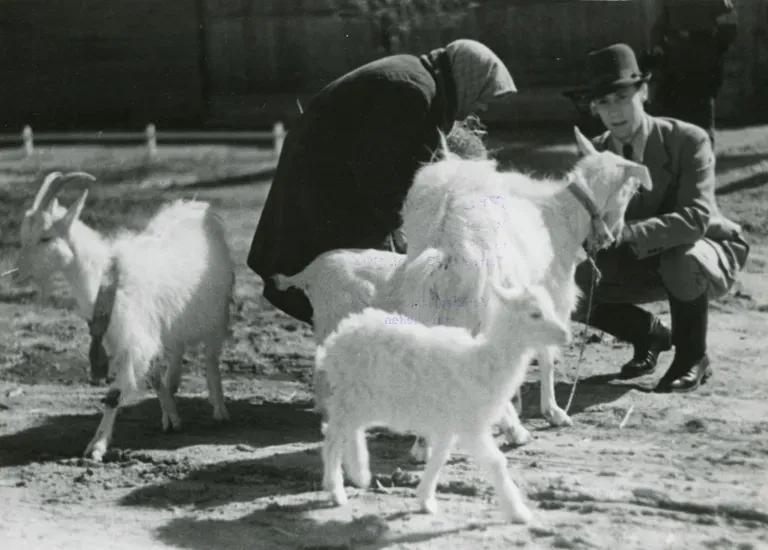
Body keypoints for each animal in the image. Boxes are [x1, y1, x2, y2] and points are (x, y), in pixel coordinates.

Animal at [16, 171, 234, 462]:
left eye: (46, 237)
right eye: (24, 235)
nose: (18, 274)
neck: (106, 279)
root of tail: (198, 209)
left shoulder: (135, 337)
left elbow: (115, 394)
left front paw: (96, 447)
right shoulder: (128, 336)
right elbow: (153, 377)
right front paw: (171, 417)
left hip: (215, 314)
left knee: (210, 358)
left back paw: (219, 409)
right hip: (174, 319)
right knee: (177, 348)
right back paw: (174, 384)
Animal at [316, 282, 572, 524]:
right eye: (535, 314)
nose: (566, 336)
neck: (483, 361)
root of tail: (336, 338)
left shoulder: (449, 424)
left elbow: (440, 458)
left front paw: (425, 500)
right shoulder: (470, 425)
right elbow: (496, 462)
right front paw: (519, 513)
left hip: (359, 401)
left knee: (346, 431)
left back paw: (358, 473)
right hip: (352, 397)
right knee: (333, 436)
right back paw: (336, 490)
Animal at [380, 128, 656, 462]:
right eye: (631, 192)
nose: (610, 238)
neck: (566, 215)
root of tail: (444, 242)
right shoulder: (550, 296)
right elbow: (545, 354)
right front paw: (553, 412)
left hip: (430, 304)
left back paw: (423, 444)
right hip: (480, 304)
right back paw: (515, 431)